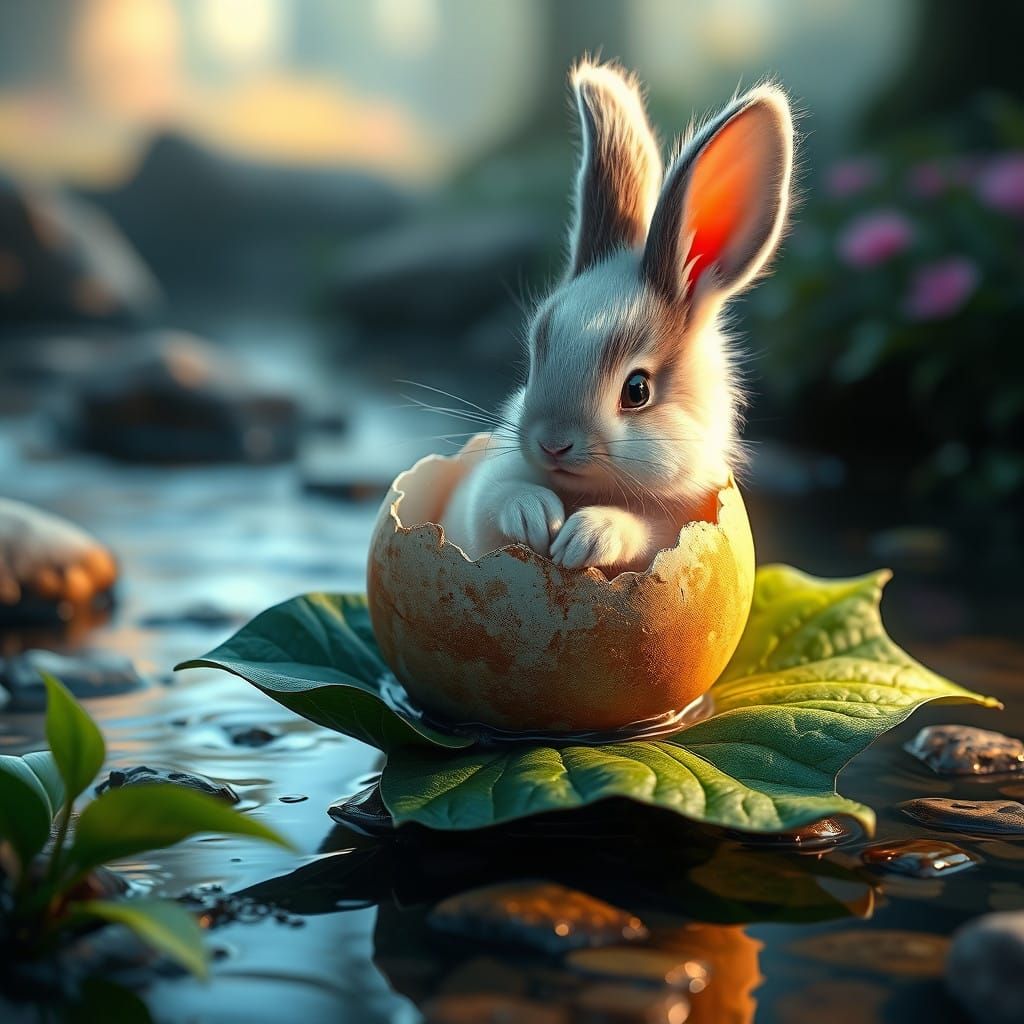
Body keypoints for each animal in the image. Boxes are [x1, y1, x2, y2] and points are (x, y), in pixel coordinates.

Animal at [441, 59, 794, 576]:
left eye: (637, 390)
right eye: (534, 362)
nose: (553, 444)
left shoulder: (679, 525)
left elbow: (645, 531)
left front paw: (585, 536)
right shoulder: (481, 494)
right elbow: (493, 500)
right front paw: (535, 515)